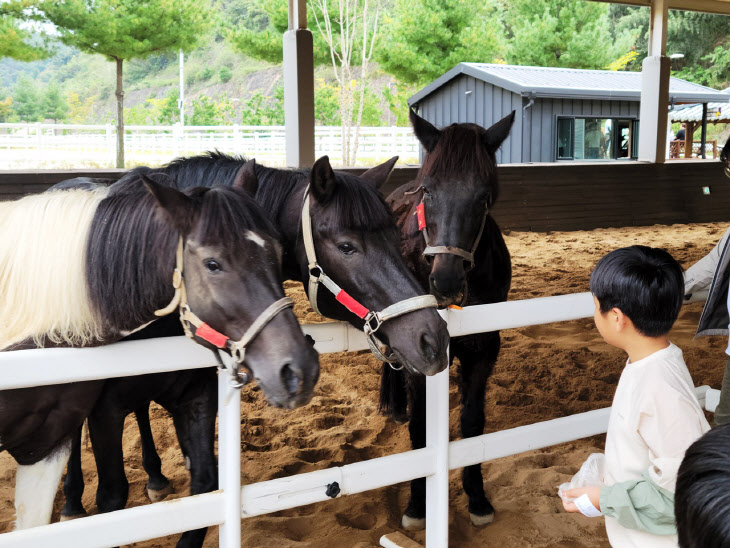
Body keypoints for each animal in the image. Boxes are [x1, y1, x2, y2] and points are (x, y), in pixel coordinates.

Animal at [61, 155, 450, 548]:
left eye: (395, 238)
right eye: (346, 246)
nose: (432, 338)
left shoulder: (195, 396)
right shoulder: (105, 410)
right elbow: (110, 499)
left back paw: (156, 477)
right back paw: (72, 501)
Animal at [382, 109, 512, 528]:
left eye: (484, 196)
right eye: (428, 191)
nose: (447, 280)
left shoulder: (484, 347)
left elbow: (472, 421)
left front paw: (477, 498)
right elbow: (421, 428)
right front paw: (417, 504)